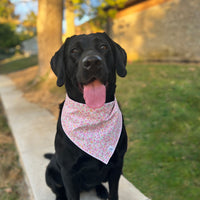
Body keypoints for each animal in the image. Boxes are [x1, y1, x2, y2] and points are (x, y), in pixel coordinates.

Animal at [44, 32, 127, 199]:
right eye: (74, 50)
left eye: (103, 46)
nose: (92, 62)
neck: (92, 114)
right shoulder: (68, 172)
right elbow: (70, 193)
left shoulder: (117, 165)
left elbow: (114, 193)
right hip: (50, 173)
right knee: (57, 188)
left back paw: (101, 190)